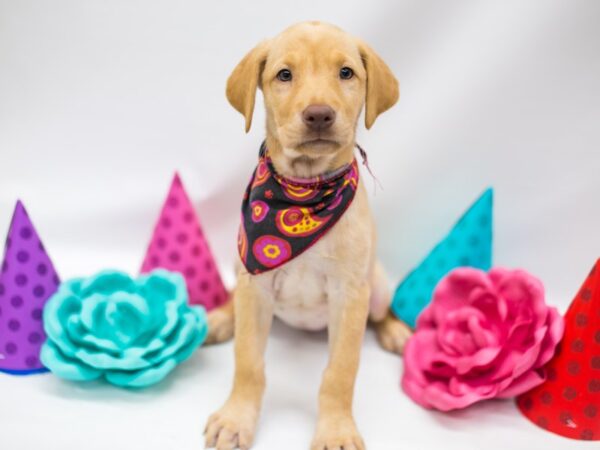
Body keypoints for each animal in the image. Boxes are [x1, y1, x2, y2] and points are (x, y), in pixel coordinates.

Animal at [206, 22, 412, 450]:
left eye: (346, 73)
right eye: (284, 74)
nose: (319, 115)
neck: (301, 195)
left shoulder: (350, 294)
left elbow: (340, 372)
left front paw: (336, 429)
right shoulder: (255, 282)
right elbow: (248, 362)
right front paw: (236, 418)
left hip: (377, 285)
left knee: (381, 312)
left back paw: (396, 331)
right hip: (239, 265)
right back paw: (219, 318)